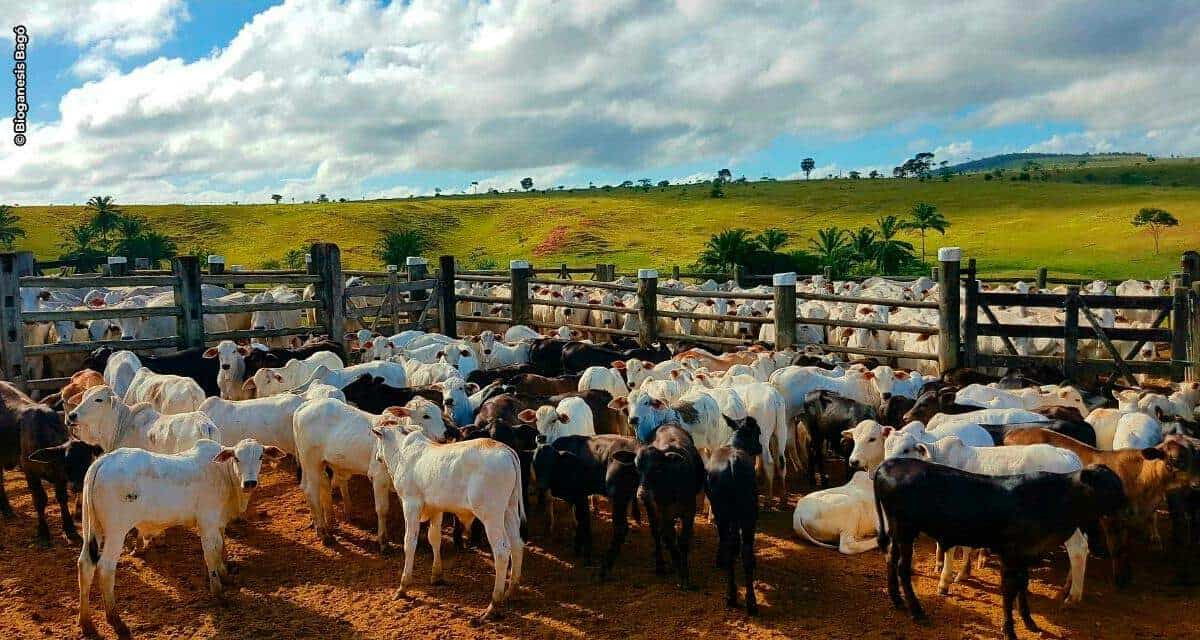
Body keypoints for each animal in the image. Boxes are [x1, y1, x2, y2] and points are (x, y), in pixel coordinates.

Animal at [77, 437, 283, 633]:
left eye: (260, 456)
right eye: (237, 458)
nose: (250, 483)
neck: (222, 474)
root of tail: (105, 460)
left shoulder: (219, 523)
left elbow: (221, 548)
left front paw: (226, 576)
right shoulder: (207, 522)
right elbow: (211, 554)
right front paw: (218, 592)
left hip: (92, 528)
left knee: (85, 564)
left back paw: (86, 622)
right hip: (116, 532)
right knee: (105, 567)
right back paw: (115, 618)